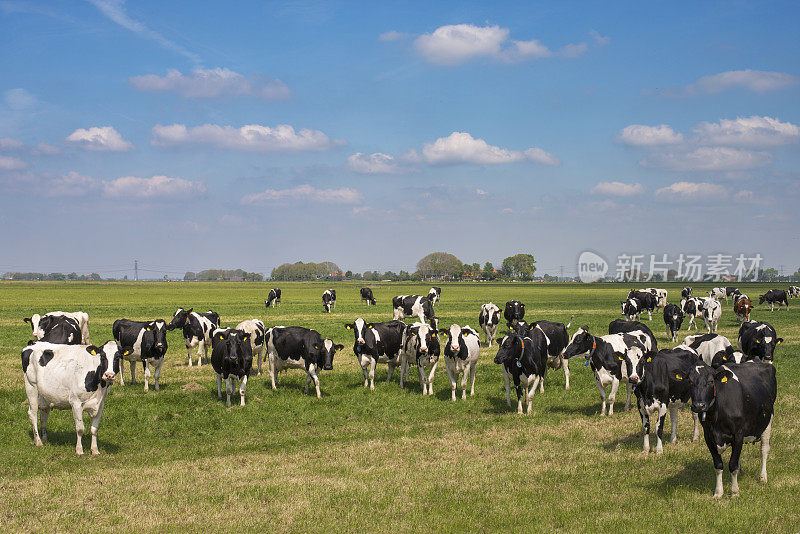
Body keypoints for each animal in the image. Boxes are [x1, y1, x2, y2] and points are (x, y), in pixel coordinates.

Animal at [692, 362, 780, 500]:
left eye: (711, 381)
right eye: (690, 382)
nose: (699, 406)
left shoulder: (738, 434)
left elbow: (732, 465)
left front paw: (734, 492)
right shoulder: (708, 436)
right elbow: (718, 465)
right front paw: (718, 492)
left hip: (768, 420)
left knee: (764, 450)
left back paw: (763, 477)